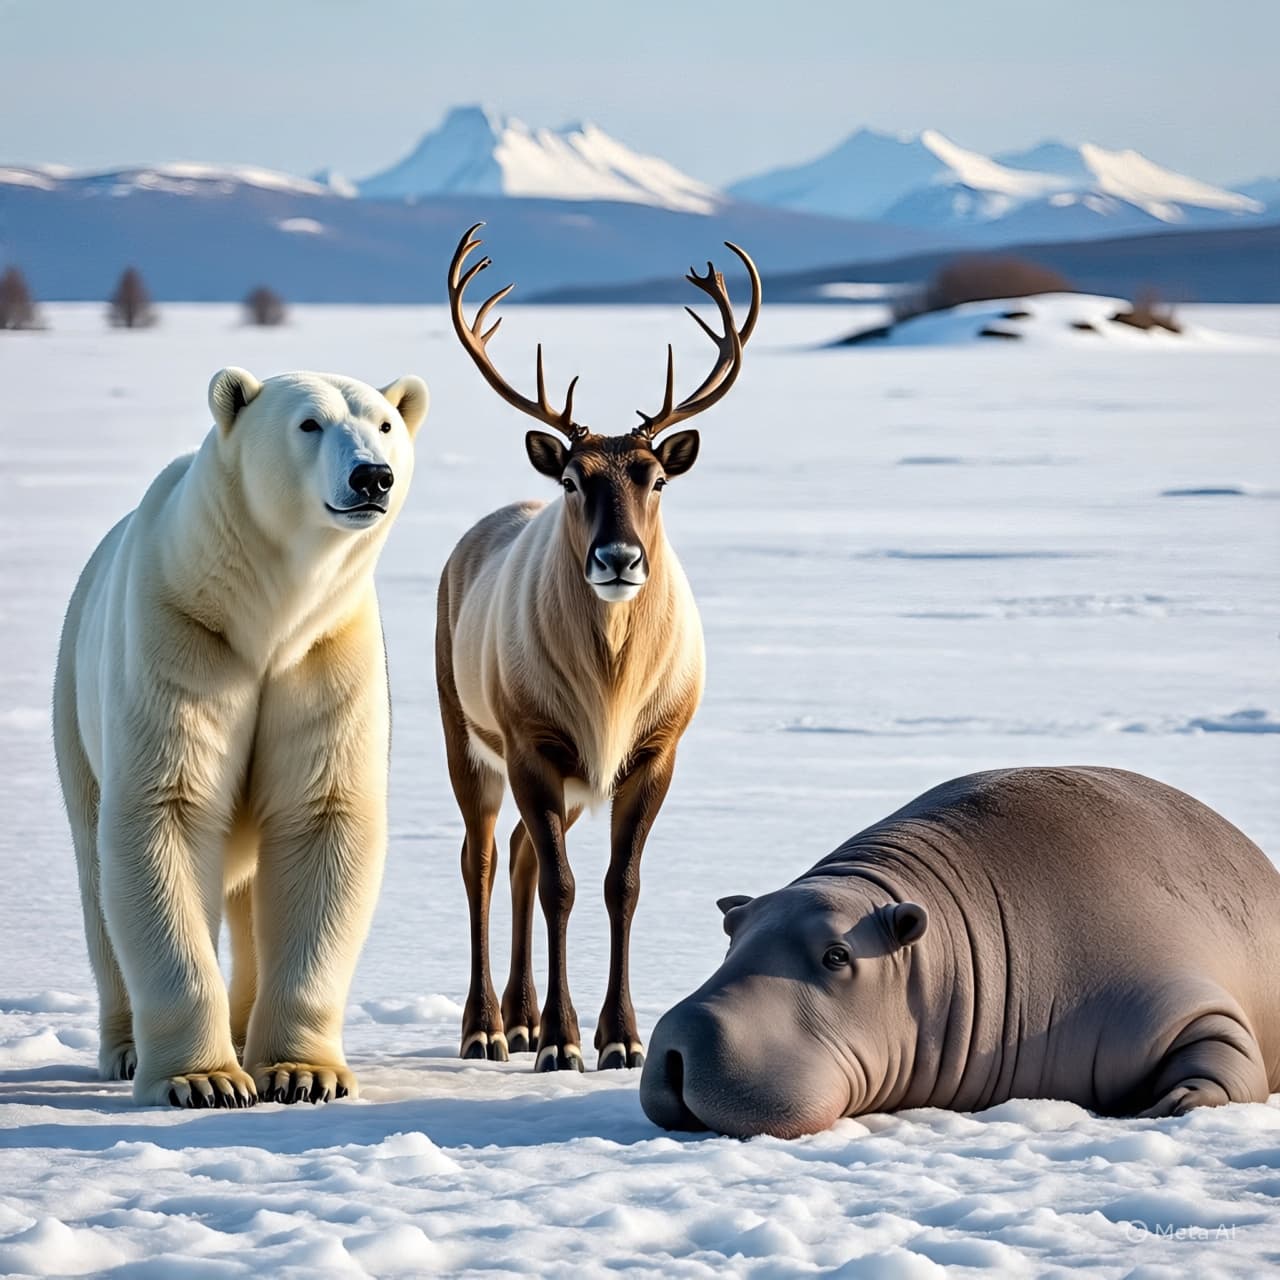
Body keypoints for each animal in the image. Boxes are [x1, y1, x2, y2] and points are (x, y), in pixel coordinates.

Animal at [52, 367, 428, 1108]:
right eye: (310, 423)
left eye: (384, 423)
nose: (372, 476)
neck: (265, 616)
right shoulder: (182, 638)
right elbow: (165, 816)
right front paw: (203, 1081)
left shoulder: (324, 654)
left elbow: (320, 820)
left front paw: (302, 1073)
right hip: (74, 707)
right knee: (96, 873)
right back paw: (127, 1048)